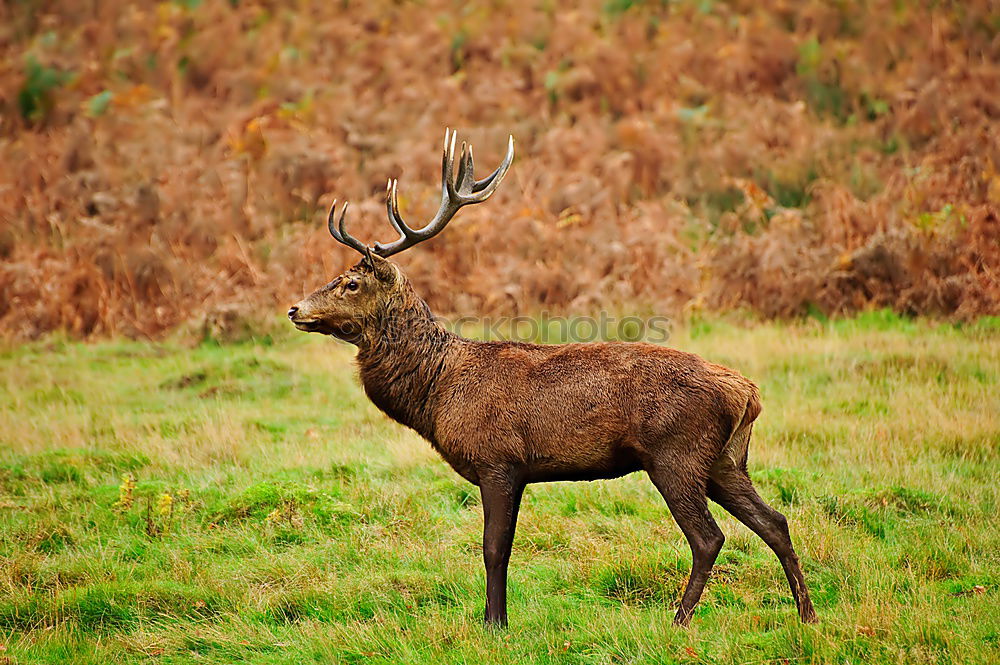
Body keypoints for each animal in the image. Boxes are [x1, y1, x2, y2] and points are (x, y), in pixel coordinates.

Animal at [286, 130, 816, 628]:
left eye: (351, 283)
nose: (295, 309)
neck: (437, 393)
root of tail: (748, 393)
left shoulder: (498, 460)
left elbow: (494, 548)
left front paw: (494, 624)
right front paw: (496, 619)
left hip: (676, 454)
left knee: (709, 537)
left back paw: (679, 620)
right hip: (726, 460)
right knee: (775, 521)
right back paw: (807, 614)